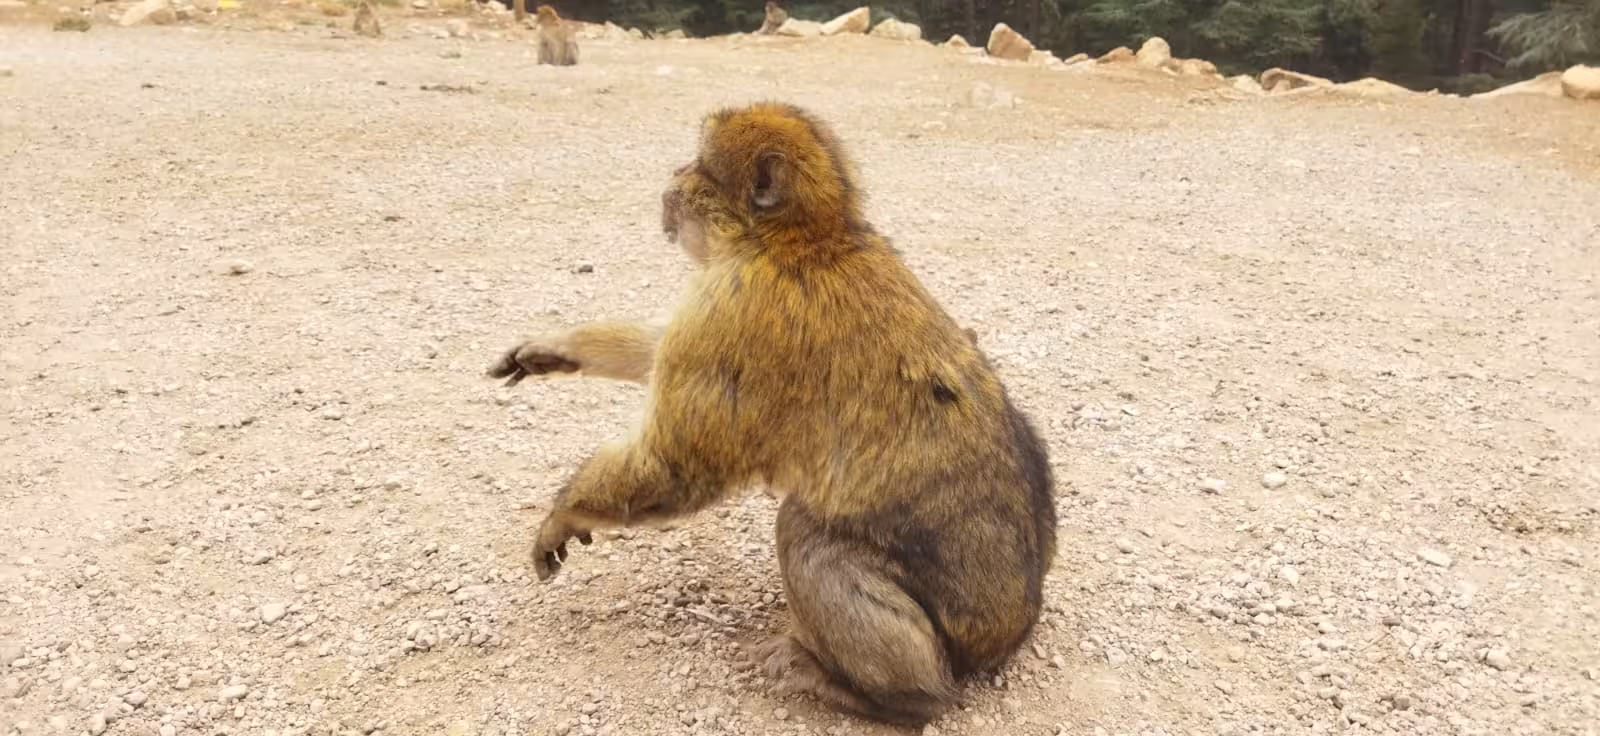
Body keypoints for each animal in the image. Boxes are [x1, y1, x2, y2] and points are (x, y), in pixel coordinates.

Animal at [485, 102, 1056, 727]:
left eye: (699, 164)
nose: (673, 175)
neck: (802, 238)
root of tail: (1007, 635)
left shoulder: (733, 311)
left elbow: (674, 468)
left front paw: (564, 512)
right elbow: (658, 355)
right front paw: (560, 347)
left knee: (803, 529)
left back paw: (893, 698)